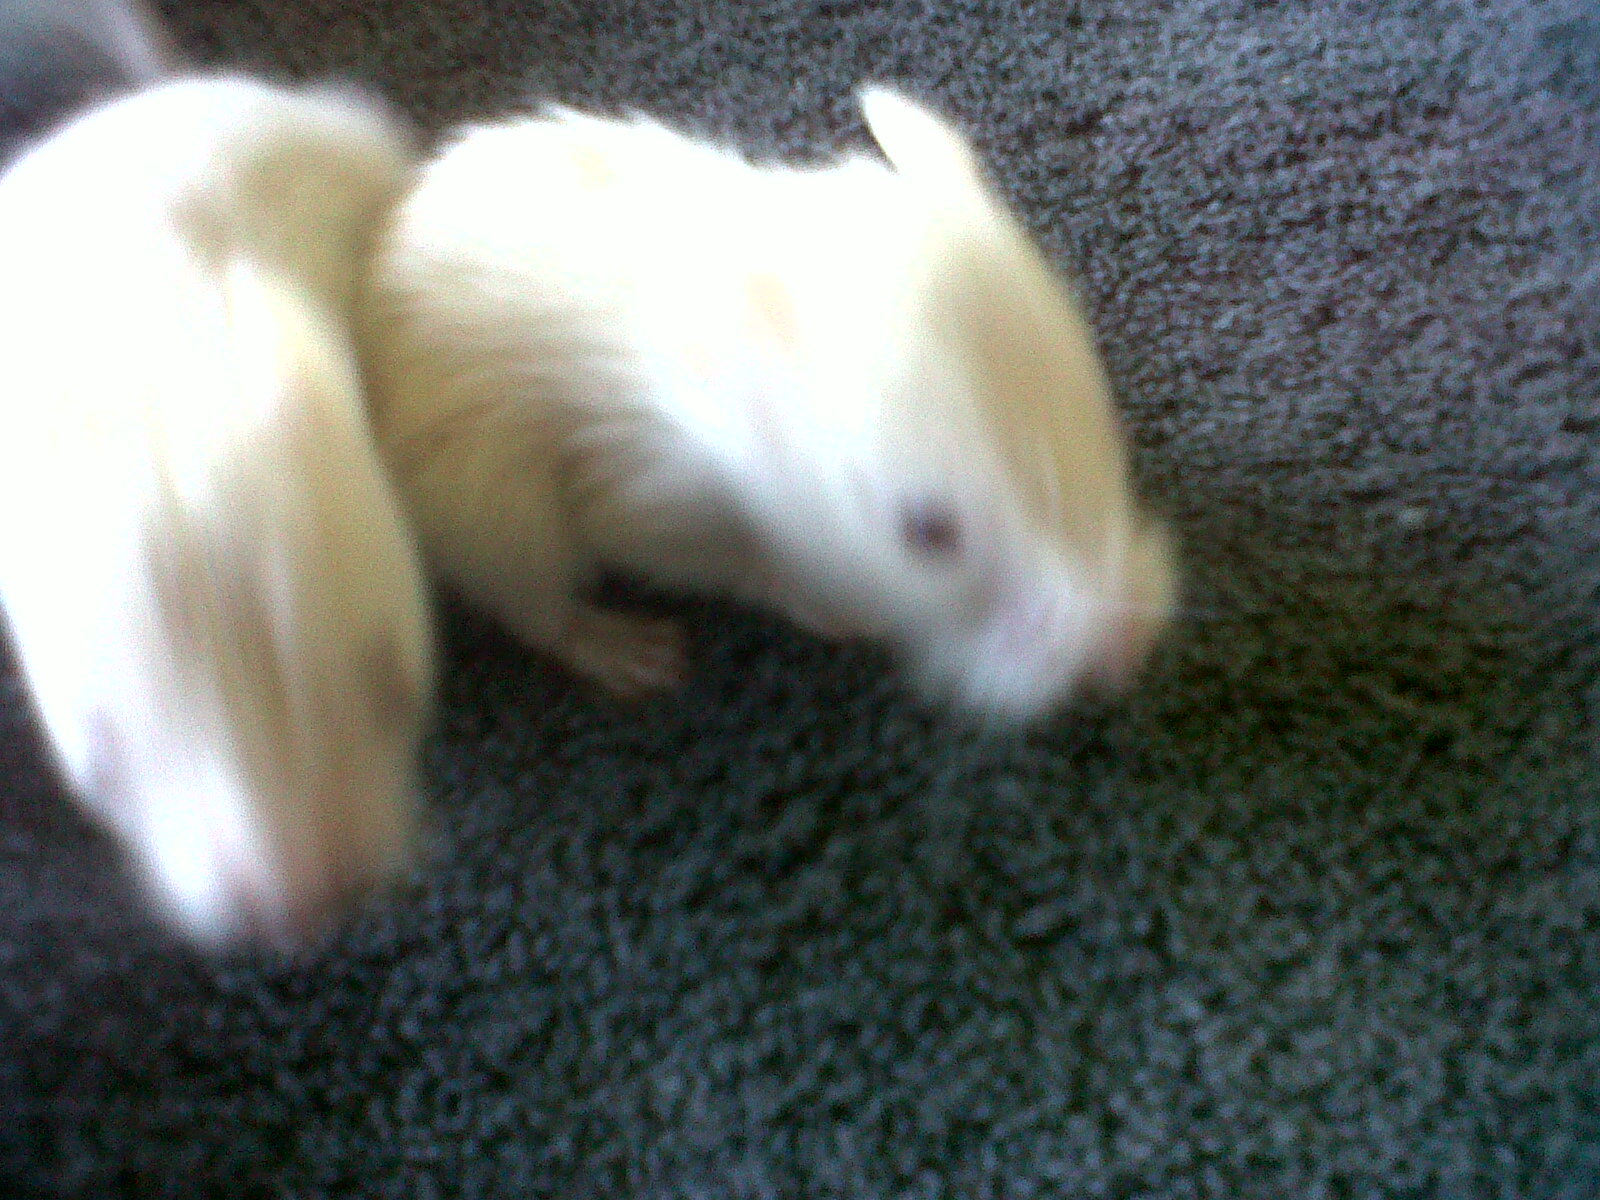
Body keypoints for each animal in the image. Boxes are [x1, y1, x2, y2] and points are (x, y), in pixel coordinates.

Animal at [359, 87, 1173, 721]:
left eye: (1106, 435)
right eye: (925, 532)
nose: (1129, 650)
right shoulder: (640, 497)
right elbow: (719, 561)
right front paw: (829, 611)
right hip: (494, 519)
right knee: (537, 608)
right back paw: (622, 649)